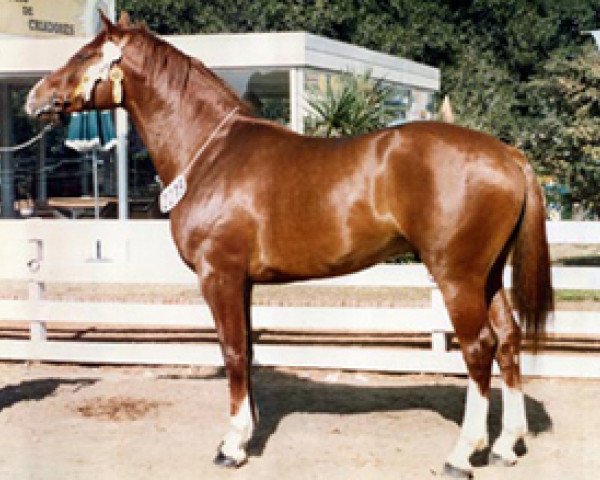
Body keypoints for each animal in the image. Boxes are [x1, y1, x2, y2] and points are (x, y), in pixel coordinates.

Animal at [28, 13, 552, 478]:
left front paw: (231, 446)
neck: (210, 154)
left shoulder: (219, 276)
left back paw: (463, 454)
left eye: (84, 53)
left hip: (456, 277)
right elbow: (246, 350)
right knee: (508, 341)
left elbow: (232, 350)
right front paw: (247, 434)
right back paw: (506, 445)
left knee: (479, 348)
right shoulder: (242, 282)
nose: (35, 97)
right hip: (488, 276)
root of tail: (508, 154)